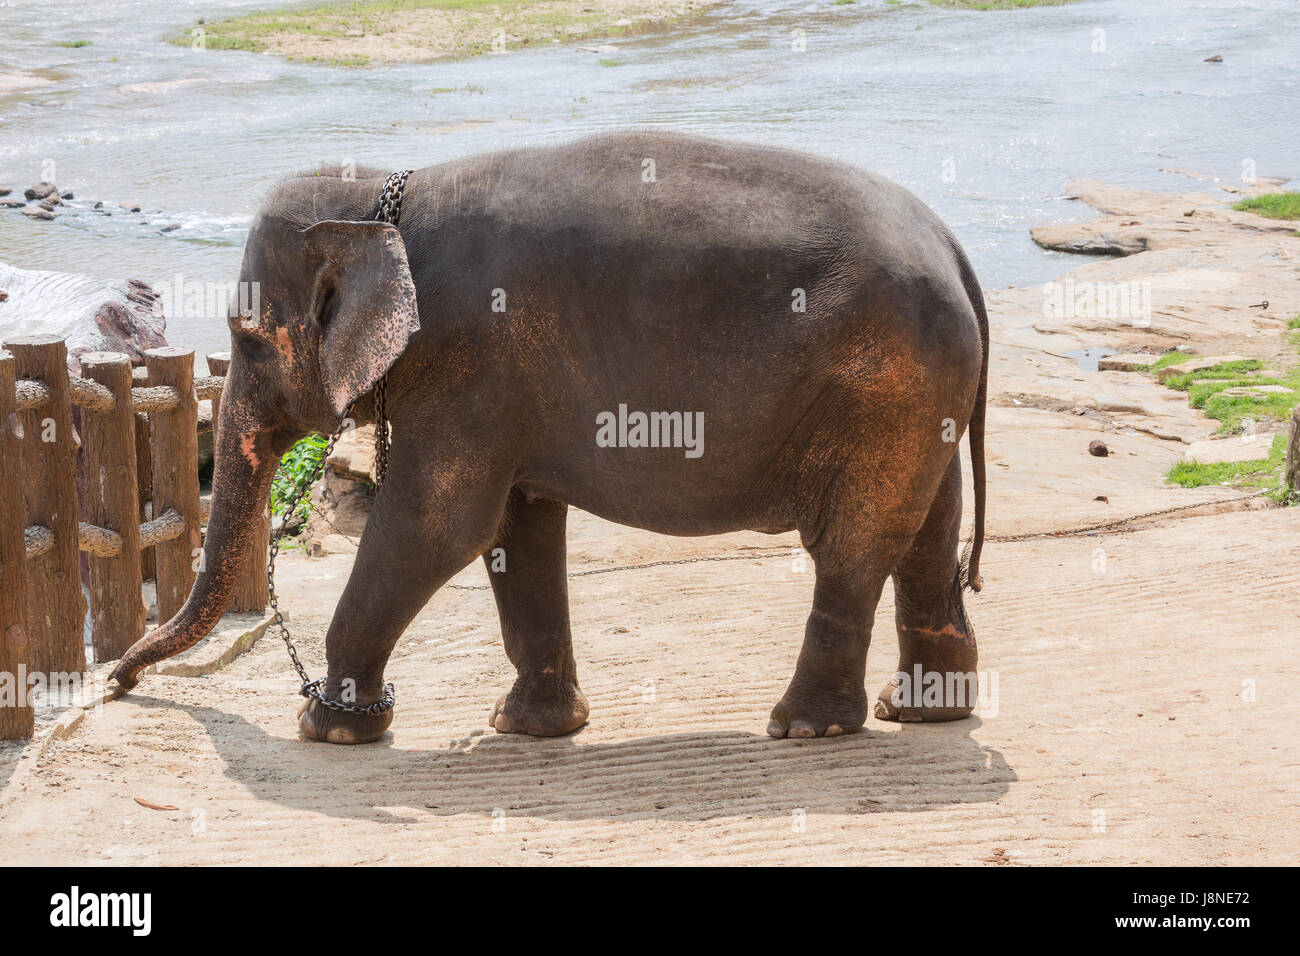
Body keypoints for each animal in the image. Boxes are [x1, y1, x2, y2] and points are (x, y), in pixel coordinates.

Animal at [109, 131, 988, 745]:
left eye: (246, 337)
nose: (119, 681)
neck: (383, 195)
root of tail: (954, 246)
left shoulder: (466, 363)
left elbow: (435, 529)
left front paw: (328, 730)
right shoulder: (499, 388)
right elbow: (515, 530)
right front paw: (528, 728)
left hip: (885, 387)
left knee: (853, 544)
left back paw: (804, 726)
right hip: (921, 396)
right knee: (927, 534)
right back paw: (919, 712)